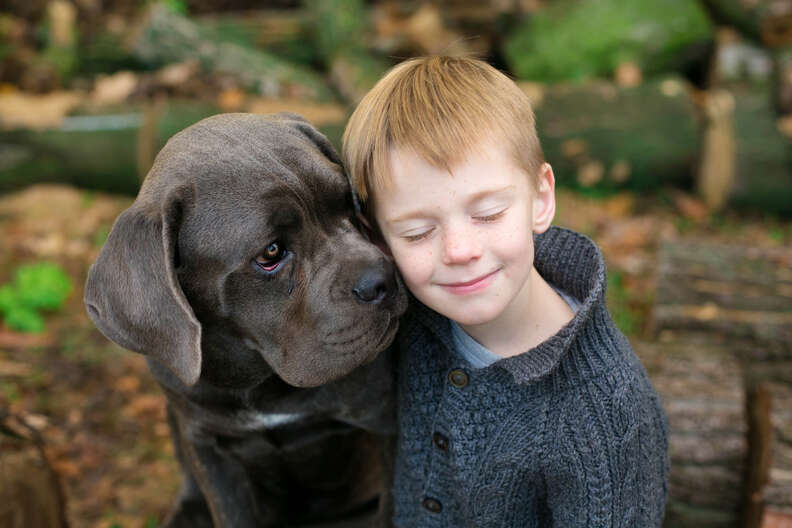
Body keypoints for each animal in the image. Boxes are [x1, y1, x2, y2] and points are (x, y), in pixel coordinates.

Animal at [85, 114, 408, 528]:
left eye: (348, 204)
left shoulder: (384, 424)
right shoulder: (211, 453)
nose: (382, 278)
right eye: (271, 253)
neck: (260, 384)